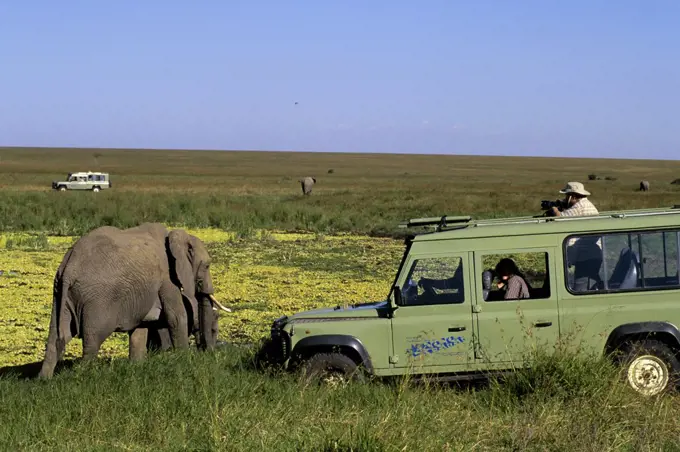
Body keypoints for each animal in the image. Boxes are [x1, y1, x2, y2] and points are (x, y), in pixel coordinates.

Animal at [39, 222, 231, 378]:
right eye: (207, 265)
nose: (208, 353)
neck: (175, 236)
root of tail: (69, 267)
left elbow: (141, 328)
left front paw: (137, 367)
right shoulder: (167, 277)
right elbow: (176, 317)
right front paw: (184, 360)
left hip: (60, 293)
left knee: (56, 336)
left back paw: (44, 380)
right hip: (97, 301)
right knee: (92, 341)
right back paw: (85, 376)